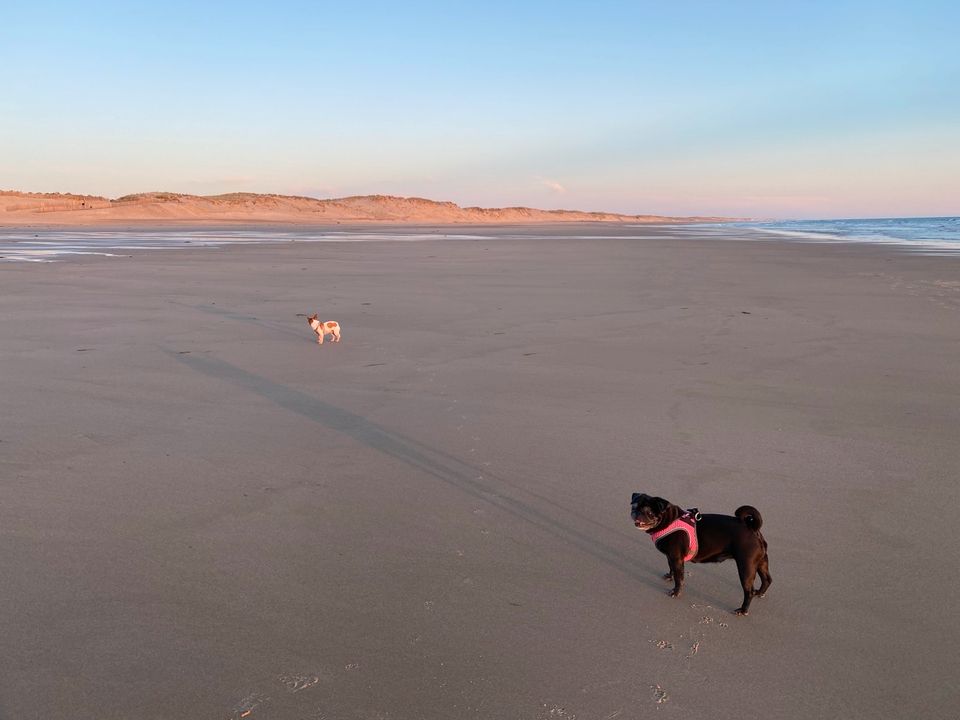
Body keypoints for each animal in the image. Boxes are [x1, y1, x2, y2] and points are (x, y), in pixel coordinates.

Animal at [632, 492, 772, 616]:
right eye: (633, 507)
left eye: (649, 513)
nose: (636, 514)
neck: (669, 520)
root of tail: (753, 528)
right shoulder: (670, 557)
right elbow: (671, 568)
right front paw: (669, 576)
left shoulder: (676, 559)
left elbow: (679, 578)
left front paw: (676, 592)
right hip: (760, 562)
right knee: (767, 579)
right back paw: (760, 593)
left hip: (746, 567)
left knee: (749, 591)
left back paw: (743, 610)